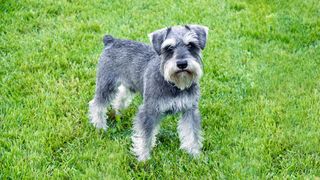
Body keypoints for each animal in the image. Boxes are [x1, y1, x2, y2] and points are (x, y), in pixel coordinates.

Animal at [89, 24, 209, 161]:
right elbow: (144, 136)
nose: (182, 63)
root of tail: (111, 41)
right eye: (169, 48)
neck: (173, 83)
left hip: (130, 85)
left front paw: (195, 155)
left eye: (191, 45)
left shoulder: (190, 110)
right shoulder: (149, 110)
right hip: (106, 85)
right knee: (97, 104)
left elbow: (192, 133)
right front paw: (143, 158)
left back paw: (117, 112)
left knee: (121, 96)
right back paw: (99, 126)